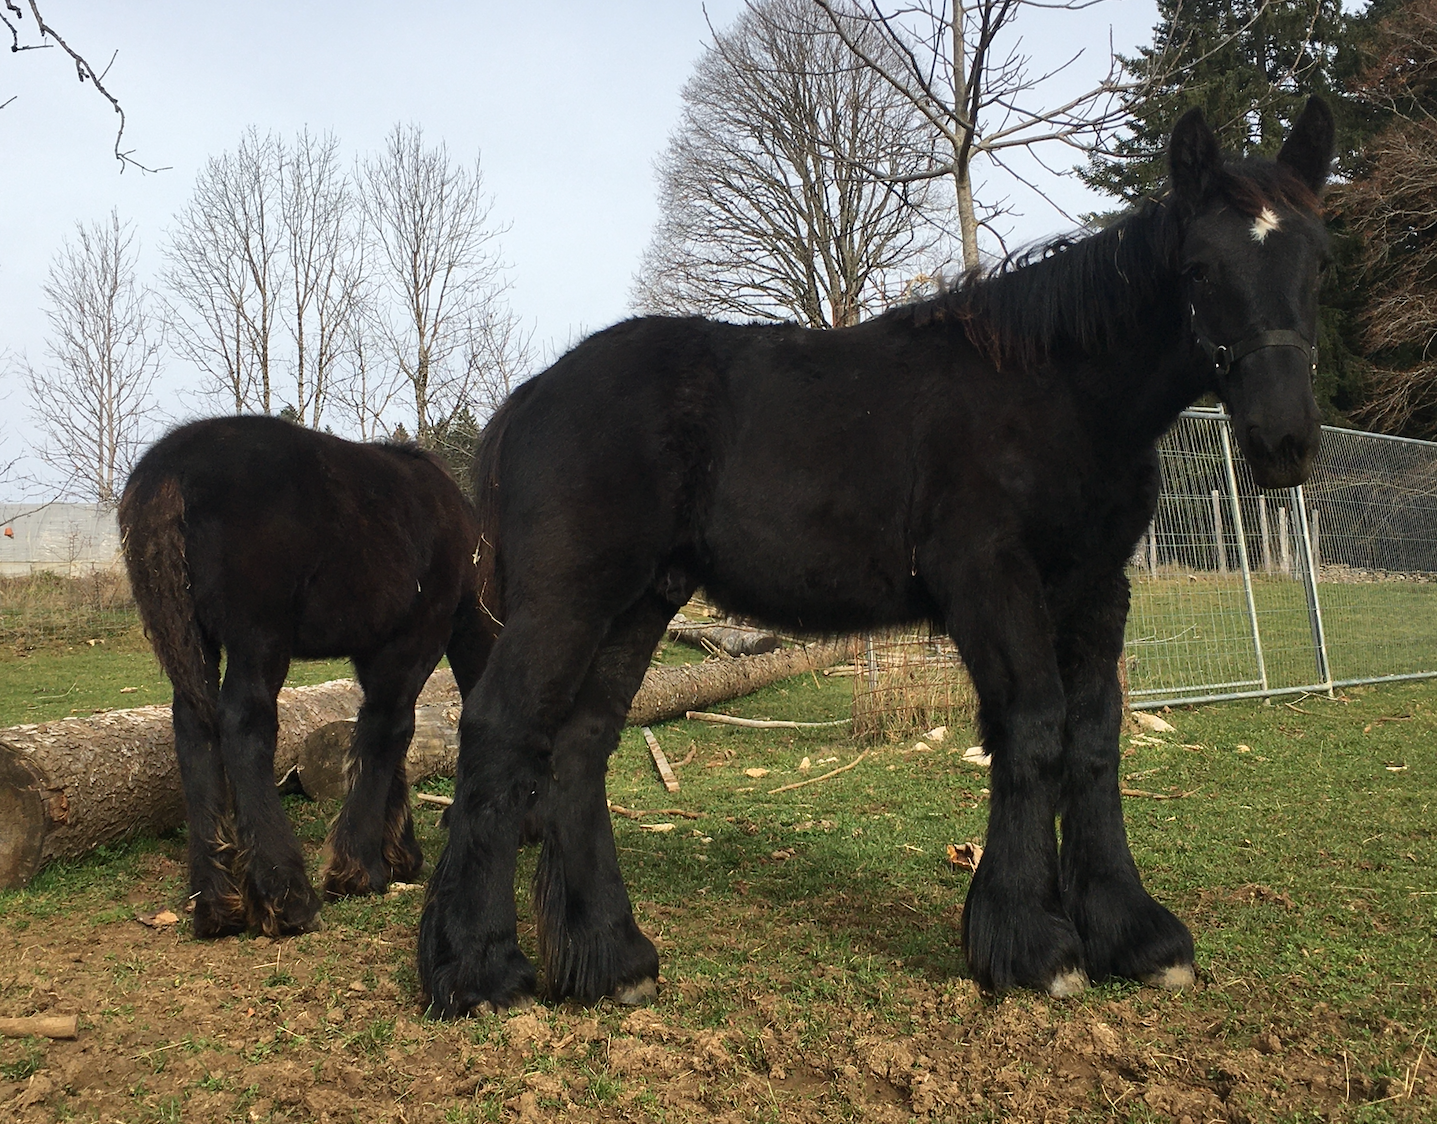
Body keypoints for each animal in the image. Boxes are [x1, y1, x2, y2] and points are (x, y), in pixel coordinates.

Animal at [120, 415, 489, 938]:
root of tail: (171, 467)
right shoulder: (415, 639)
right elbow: (388, 731)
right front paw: (360, 868)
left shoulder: (376, 652)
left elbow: (384, 734)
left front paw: (396, 853)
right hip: (259, 640)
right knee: (244, 728)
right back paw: (286, 895)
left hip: (194, 641)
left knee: (194, 731)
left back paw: (217, 904)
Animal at [417, 99, 1335, 1014]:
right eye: (1199, 269)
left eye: (1314, 259)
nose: (1283, 441)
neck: (1057, 396)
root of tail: (534, 393)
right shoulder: (989, 582)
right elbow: (1034, 727)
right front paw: (1032, 944)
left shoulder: (1095, 590)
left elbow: (1094, 740)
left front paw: (1135, 933)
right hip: (568, 598)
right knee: (499, 727)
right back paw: (479, 970)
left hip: (639, 601)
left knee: (579, 746)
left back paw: (611, 959)